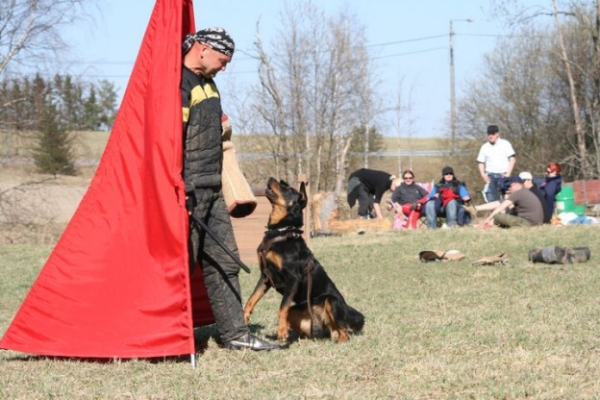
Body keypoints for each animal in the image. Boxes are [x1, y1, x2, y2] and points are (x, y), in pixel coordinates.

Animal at [241, 179, 364, 344]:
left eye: (287, 188)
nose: (271, 178)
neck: (281, 232)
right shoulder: (265, 277)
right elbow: (251, 300)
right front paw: (244, 318)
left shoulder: (293, 278)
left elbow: (282, 307)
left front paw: (281, 332)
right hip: (298, 313)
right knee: (320, 332)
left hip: (331, 301)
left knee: (344, 331)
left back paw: (339, 340)